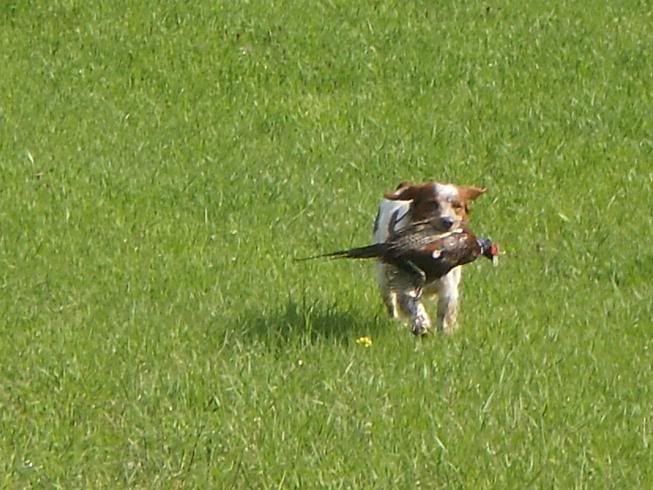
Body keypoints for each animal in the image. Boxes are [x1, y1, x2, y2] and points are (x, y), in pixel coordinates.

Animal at [372, 182, 484, 334]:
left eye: (457, 206)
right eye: (432, 203)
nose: (448, 221)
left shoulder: (448, 284)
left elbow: (445, 309)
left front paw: (445, 331)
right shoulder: (404, 281)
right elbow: (411, 302)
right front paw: (421, 323)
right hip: (384, 278)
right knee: (391, 303)